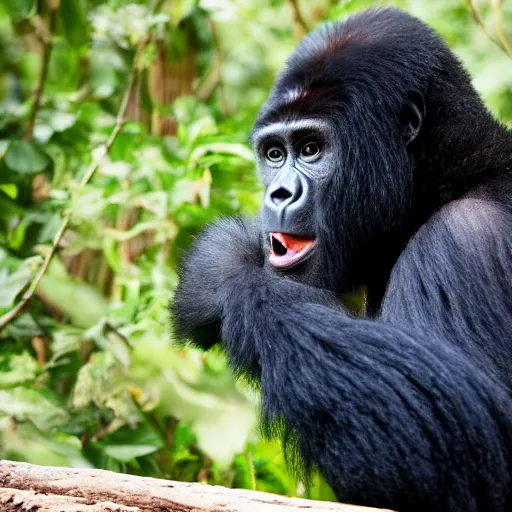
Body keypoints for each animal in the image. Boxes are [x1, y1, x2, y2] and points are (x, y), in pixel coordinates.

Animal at [172, 7, 512, 512]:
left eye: (311, 148)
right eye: (275, 153)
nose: (278, 193)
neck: (449, 173)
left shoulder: (465, 239)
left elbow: (466, 437)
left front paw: (224, 270)